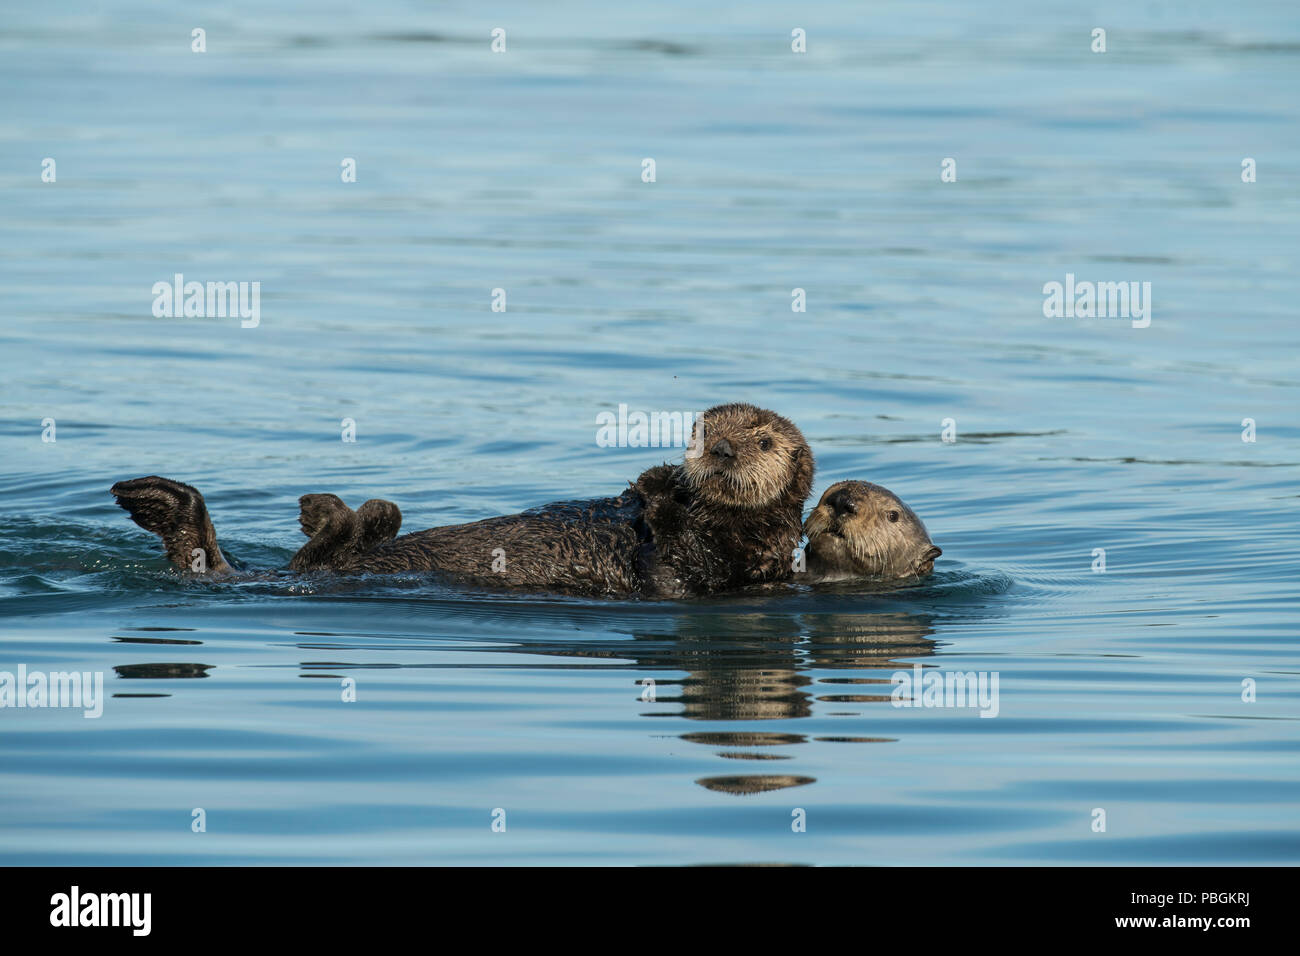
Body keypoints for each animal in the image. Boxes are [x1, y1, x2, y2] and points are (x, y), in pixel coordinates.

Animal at [111, 402, 815, 598]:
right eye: (703, 427)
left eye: (762, 439)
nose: (716, 450)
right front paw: (653, 477)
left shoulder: (723, 568)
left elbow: (676, 568)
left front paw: (662, 491)